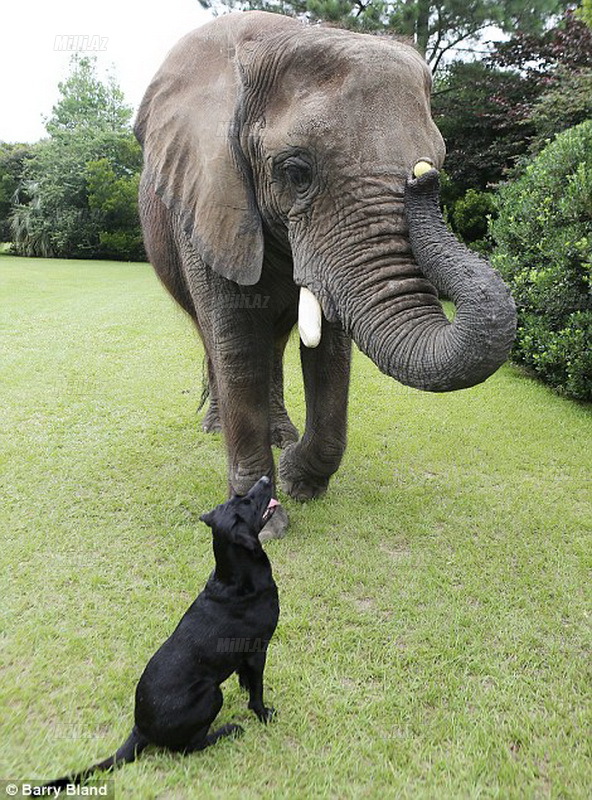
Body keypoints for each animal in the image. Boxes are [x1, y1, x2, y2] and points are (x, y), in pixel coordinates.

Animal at [44, 476, 280, 788]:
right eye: (248, 502)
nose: (265, 478)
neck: (235, 579)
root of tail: (140, 729)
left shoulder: (245, 655)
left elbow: (246, 678)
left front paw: (244, 686)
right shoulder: (258, 650)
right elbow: (257, 692)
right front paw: (263, 713)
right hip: (211, 694)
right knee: (189, 747)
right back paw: (226, 731)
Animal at [136, 9, 516, 536]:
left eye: (438, 158)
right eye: (296, 171)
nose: (424, 177)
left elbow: (331, 352)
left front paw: (300, 478)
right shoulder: (210, 198)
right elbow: (236, 344)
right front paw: (260, 522)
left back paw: (282, 434)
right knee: (215, 339)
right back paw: (215, 426)